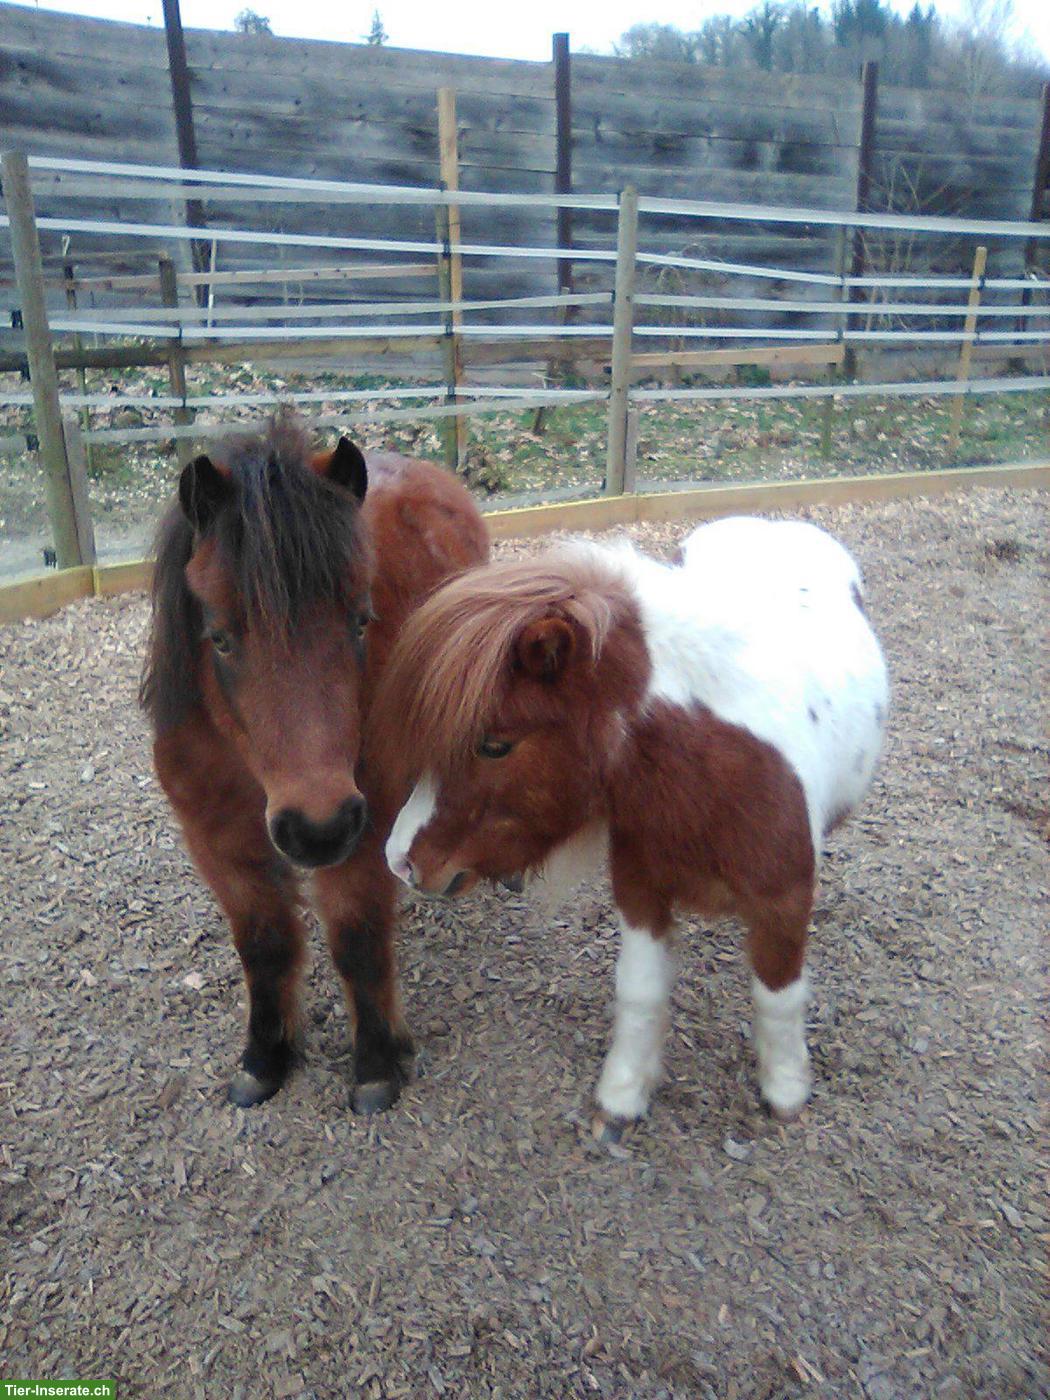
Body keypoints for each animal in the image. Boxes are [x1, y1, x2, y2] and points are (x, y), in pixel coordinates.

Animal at [140, 411, 489, 1113]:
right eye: (219, 636)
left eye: (360, 620)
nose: (316, 828)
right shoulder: (219, 844)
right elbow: (264, 945)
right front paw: (265, 1057)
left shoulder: (363, 830)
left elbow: (357, 940)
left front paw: (377, 1062)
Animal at [372, 516, 888, 1137]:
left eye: (494, 745)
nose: (400, 860)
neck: (713, 770)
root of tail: (772, 525)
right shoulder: (641, 893)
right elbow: (641, 993)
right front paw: (622, 1096)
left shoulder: (782, 903)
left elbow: (777, 996)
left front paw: (785, 1090)